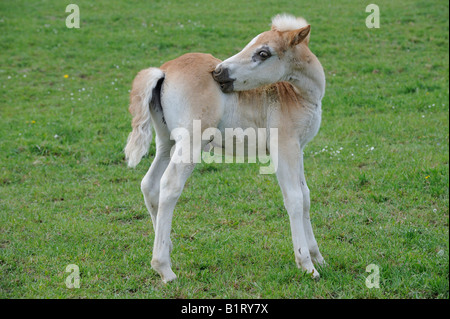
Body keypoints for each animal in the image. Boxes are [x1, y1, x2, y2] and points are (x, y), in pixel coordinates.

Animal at [125, 13, 326, 284]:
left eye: (263, 53)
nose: (219, 72)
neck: (296, 94)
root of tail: (164, 71)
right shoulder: (284, 146)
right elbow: (294, 199)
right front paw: (306, 265)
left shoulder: (299, 149)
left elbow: (305, 197)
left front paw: (318, 257)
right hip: (191, 142)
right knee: (169, 186)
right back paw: (164, 268)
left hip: (167, 142)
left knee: (149, 183)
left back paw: (166, 246)